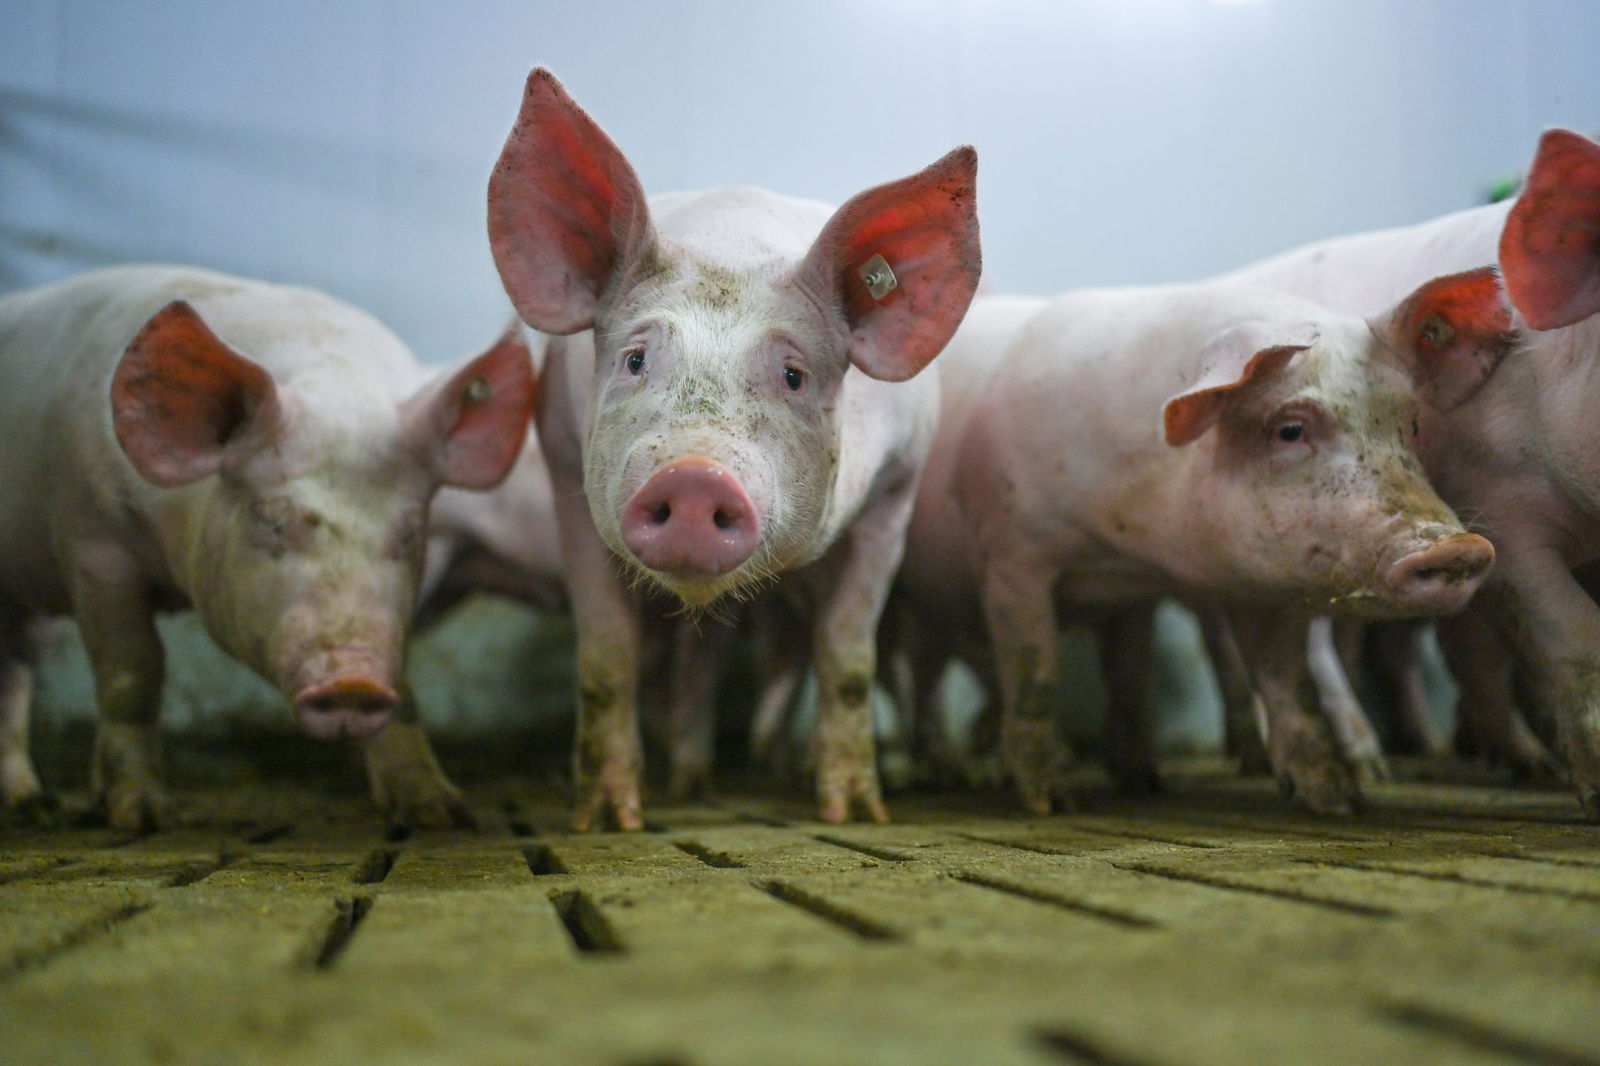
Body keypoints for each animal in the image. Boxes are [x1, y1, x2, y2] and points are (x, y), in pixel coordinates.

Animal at [0, 265, 535, 830]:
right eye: (272, 519)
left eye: (410, 532)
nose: (355, 683)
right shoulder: (92, 538)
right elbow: (133, 672)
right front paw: (141, 818)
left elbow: (405, 685)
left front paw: (439, 812)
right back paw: (30, 805)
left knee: (15, 668)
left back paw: (28, 801)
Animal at [487, 69, 981, 828]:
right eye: (635, 359)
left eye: (793, 374)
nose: (695, 476)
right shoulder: (566, 459)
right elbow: (606, 657)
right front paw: (608, 819)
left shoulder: (895, 493)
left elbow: (847, 659)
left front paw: (853, 812)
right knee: (704, 659)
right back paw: (689, 786)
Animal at [941, 275, 1505, 814]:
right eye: (1289, 429)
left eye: (1412, 424)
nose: (1456, 547)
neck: (1136, 541)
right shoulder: (1011, 553)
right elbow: (1034, 669)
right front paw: (1050, 803)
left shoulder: (1241, 581)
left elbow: (1282, 680)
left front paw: (1337, 800)